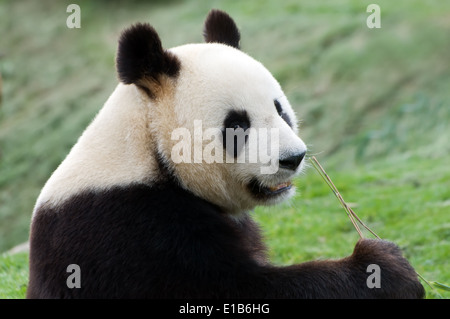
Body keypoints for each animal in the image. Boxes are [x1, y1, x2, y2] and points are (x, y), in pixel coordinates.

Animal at [26, 10, 424, 300]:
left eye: (280, 110)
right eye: (237, 125)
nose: (293, 158)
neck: (147, 149)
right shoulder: (126, 231)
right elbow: (235, 289)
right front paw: (384, 268)